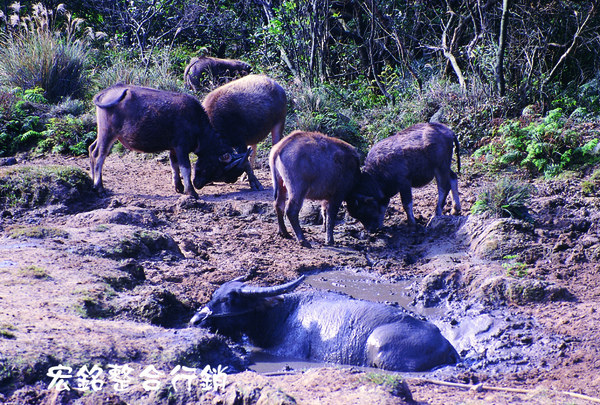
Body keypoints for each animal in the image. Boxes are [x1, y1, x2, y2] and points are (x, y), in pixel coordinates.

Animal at [89, 83, 248, 197]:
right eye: (218, 169)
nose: (198, 184)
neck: (197, 122)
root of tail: (105, 93)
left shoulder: (173, 148)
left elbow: (174, 166)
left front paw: (179, 187)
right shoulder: (181, 147)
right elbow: (186, 168)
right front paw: (191, 192)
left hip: (102, 133)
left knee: (91, 149)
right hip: (108, 133)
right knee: (99, 155)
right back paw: (99, 187)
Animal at [192, 274, 460, 372]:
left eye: (229, 299)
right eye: (214, 294)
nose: (196, 319)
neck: (283, 315)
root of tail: (446, 343)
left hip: (379, 347)